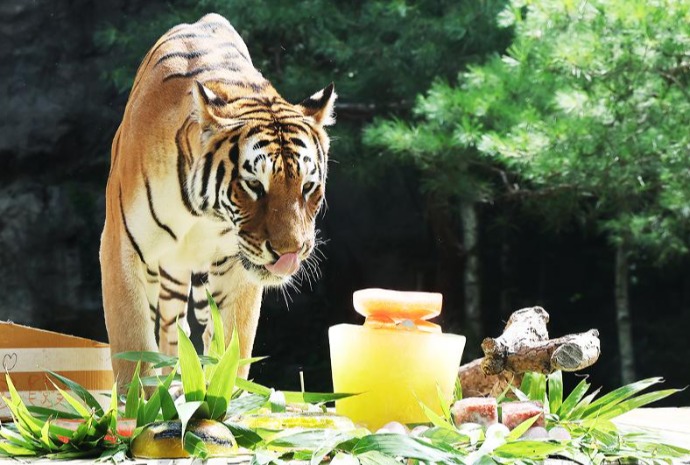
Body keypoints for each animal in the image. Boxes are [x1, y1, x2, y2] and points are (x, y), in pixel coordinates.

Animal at [100, 13, 336, 389]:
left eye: (307, 186)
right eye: (254, 185)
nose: (290, 253)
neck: (202, 214)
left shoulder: (238, 269)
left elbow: (233, 347)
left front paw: (223, 393)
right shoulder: (121, 247)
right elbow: (133, 347)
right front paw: (137, 400)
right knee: (169, 330)